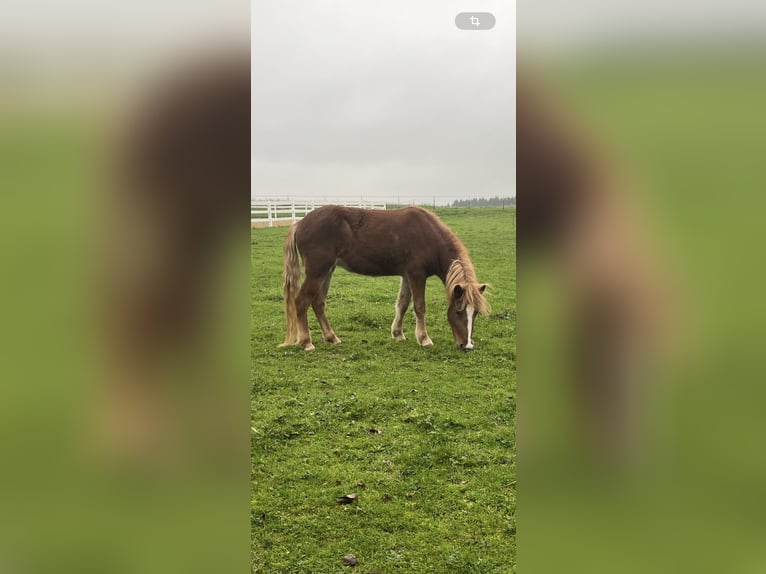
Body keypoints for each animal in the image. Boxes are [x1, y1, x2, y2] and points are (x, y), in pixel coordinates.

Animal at [280, 206, 488, 352]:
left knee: (318, 302)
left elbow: (402, 304)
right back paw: (306, 342)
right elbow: (419, 306)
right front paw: (424, 339)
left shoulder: (406, 275)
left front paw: (398, 334)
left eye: (476, 313)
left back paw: (332, 338)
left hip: (327, 271)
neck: (428, 236)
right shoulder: (417, 275)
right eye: (459, 311)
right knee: (302, 301)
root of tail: (300, 223)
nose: (467, 345)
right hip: (317, 271)